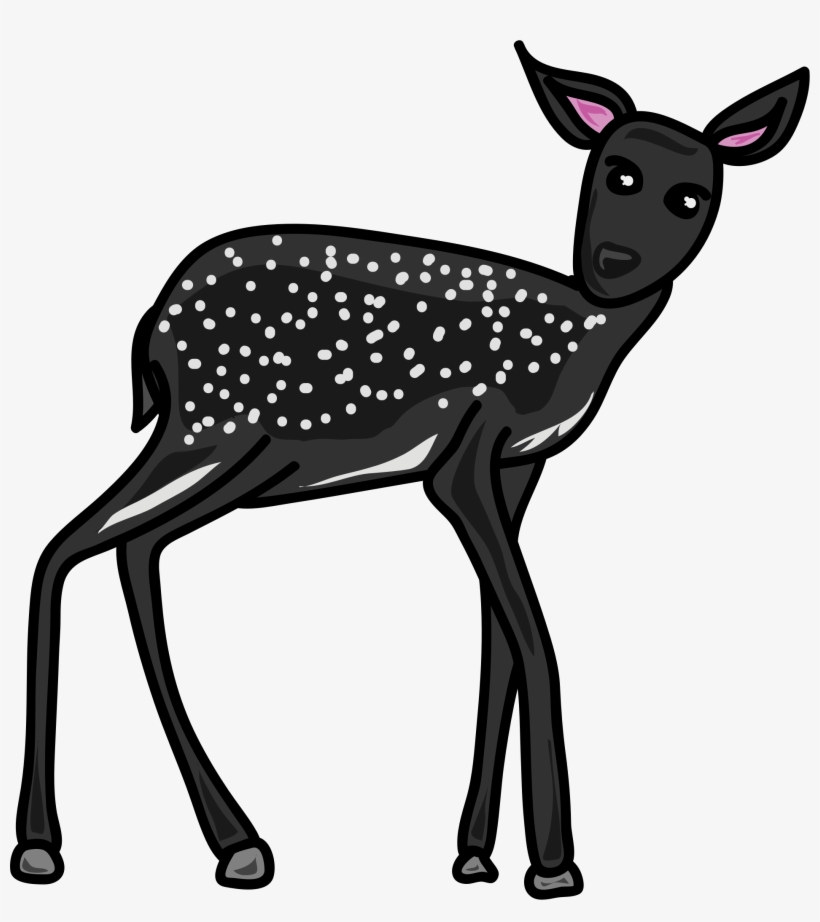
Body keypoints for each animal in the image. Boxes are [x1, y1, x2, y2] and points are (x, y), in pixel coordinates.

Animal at [10, 42, 809, 899]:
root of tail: (152, 325)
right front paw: (555, 866)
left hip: (245, 457)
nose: (615, 262)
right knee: (65, 547)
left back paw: (231, 843)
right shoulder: (464, 456)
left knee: (128, 548)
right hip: (217, 427)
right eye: (615, 172)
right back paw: (46, 847)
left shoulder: (522, 463)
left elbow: (498, 640)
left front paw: (476, 856)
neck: (582, 333)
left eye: (692, 197)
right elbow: (533, 633)